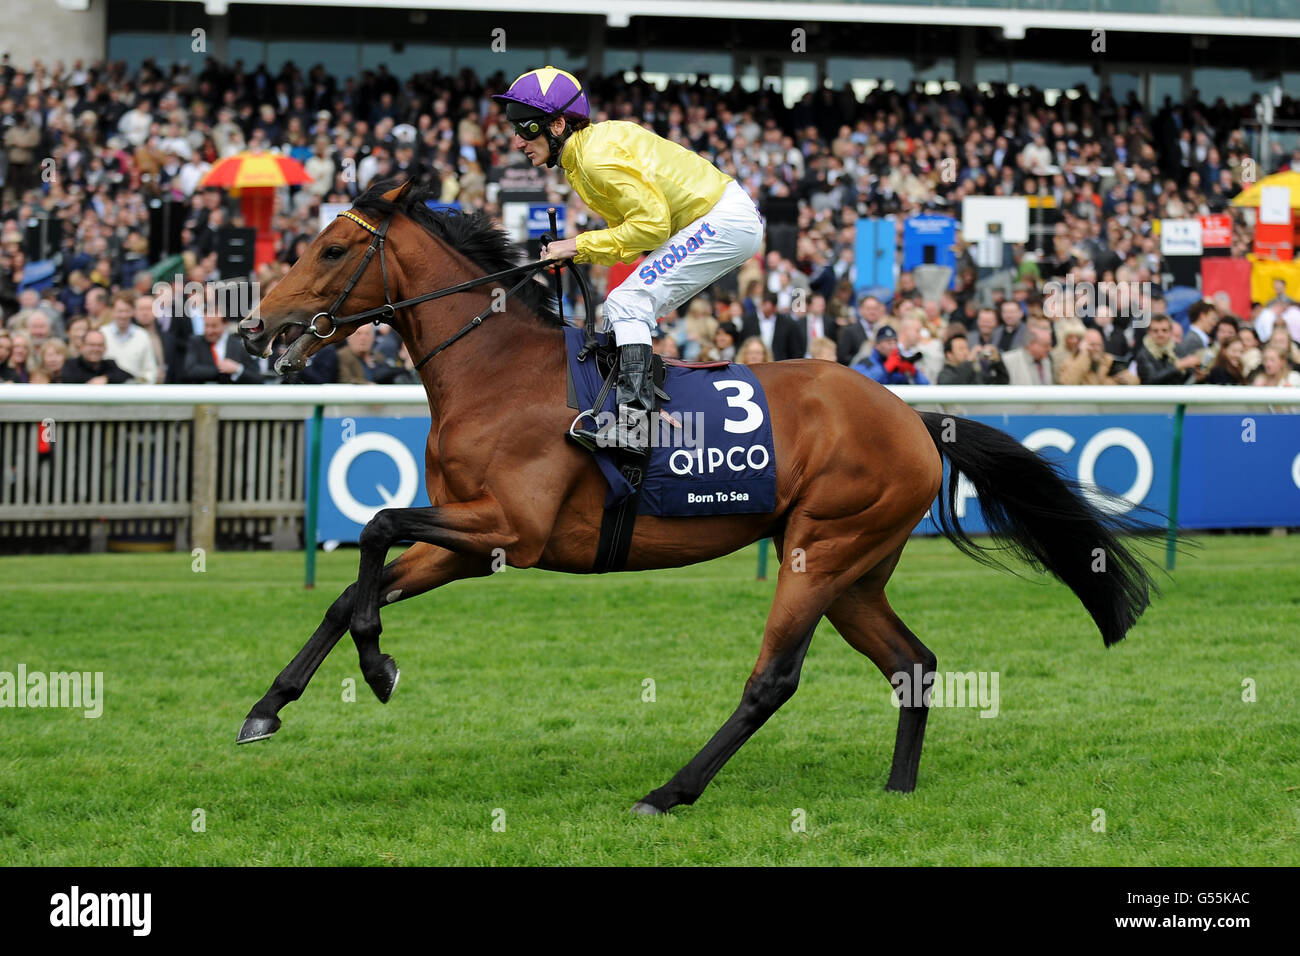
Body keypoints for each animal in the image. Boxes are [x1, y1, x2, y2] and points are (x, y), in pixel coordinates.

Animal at [233, 179, 1149, 816]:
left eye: (328, 251)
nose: (253, 327)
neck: (497, 373)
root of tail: (913, 417)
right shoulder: (472, 543)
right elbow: (354, 585)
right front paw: (269, 707)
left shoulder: (510, 529)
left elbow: (375, 527)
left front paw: (378, 666)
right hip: (853, 567)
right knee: (913, 664)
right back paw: (896, 790)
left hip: (823, 549)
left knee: (773, 680)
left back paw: (668, 792)